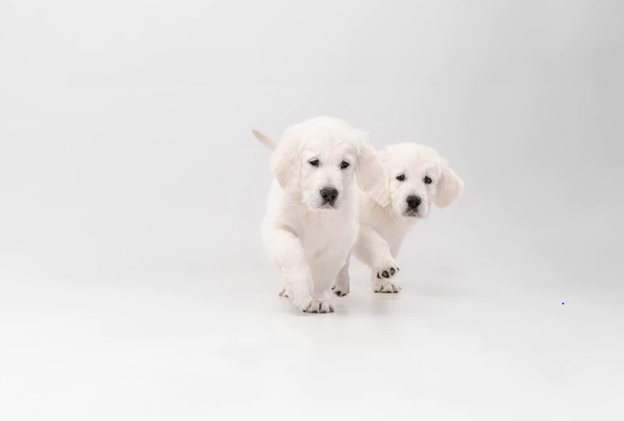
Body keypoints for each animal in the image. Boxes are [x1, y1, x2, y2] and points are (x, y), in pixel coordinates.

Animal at [251, 116, 388, 314]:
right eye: (314, 162)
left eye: (344, 164)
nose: (329, 193)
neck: (314, 212)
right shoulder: (276, 227)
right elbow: (292, 250)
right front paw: (300, 290)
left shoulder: (340, 239)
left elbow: (324, 271)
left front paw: (318, 299)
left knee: (344, 263)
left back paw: (342, 284)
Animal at [334, 143, 466, 294]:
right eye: (400, 177)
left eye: (428, 180)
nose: (414, 201)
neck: (387, 209)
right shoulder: (360, 227)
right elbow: (378, 241)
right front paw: (386, 265)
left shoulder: (395, 237)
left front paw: (384, 281)